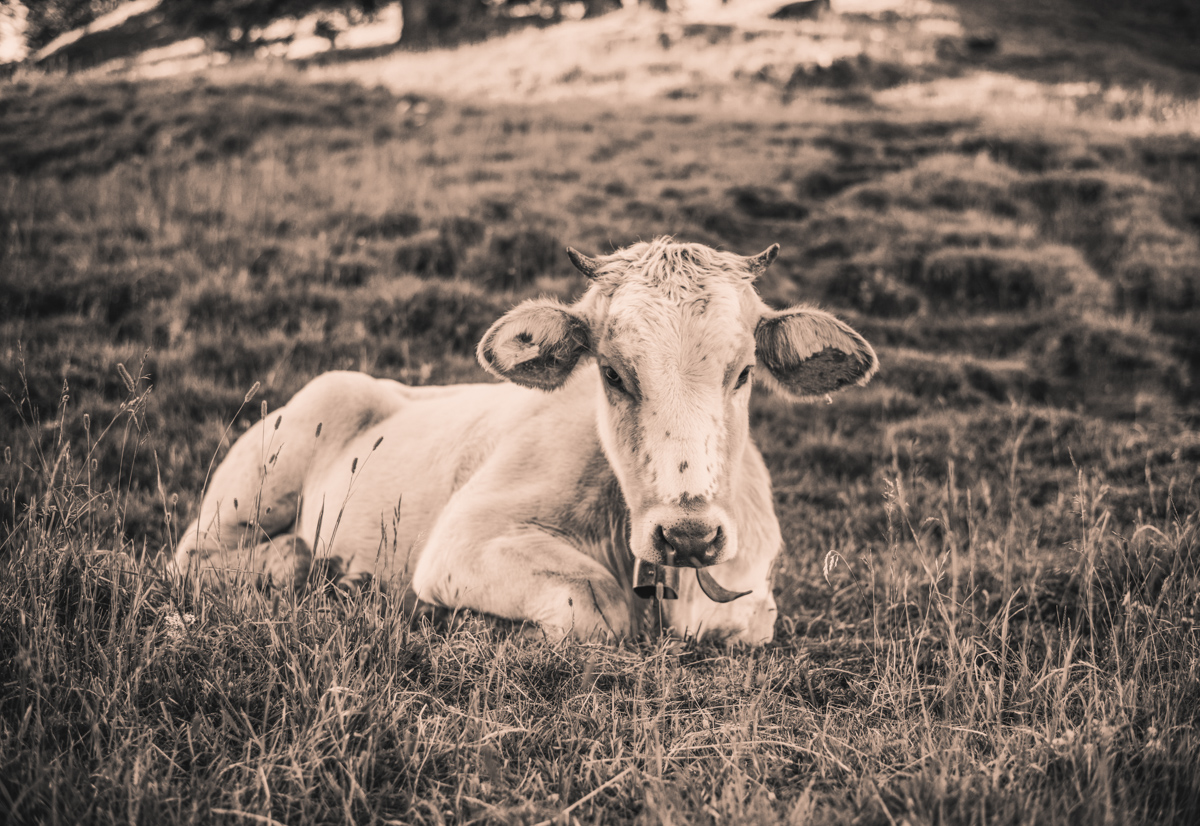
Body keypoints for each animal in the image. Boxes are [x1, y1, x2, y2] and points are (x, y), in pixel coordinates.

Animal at [170, 237, 877, 644]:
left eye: (744, 372)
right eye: (612, 373)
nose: (689, 536)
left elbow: (736, 620)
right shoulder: (464, 541)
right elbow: (597, 604)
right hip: (250, 490)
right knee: (208, 560)